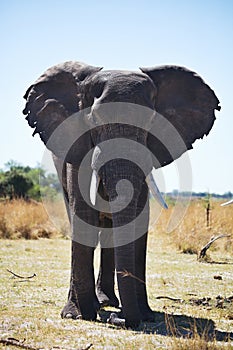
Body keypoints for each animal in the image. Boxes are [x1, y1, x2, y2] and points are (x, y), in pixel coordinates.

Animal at [22, 60, 220, 328]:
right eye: (94, 119)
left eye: (151, 121)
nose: (119, 318)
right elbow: (82, 214)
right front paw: (77, 315)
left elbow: (138, 219)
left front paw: (145, 315)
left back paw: (107, 301)